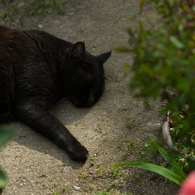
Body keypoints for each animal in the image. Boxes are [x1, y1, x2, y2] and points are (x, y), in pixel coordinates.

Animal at [0, 26, 111, 162]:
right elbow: (58, 128)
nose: (90, 100)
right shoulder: (31, 104)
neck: (49, 57)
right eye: (86, 83)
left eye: (98, 92)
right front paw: (78, 150)